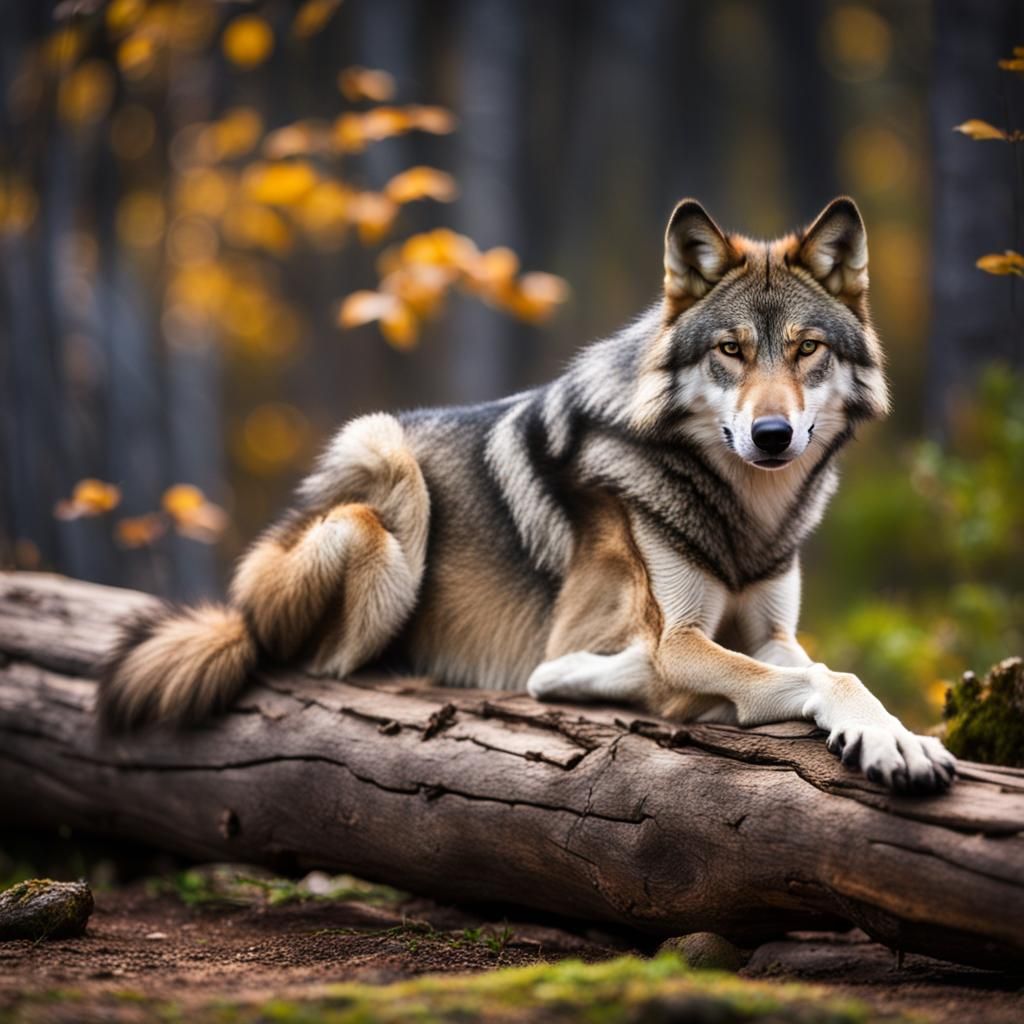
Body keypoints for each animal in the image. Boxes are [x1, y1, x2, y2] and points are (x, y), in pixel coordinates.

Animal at [100, 196, 955, 794]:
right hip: (381, 480)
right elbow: (807, 675)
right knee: (325, 665)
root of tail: (239, 604)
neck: (745, 510)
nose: (772, 436)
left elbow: (835, 671)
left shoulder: (773, 632)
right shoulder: (669, 640)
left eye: (806, 349)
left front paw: (898, 734)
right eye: (730, 351)